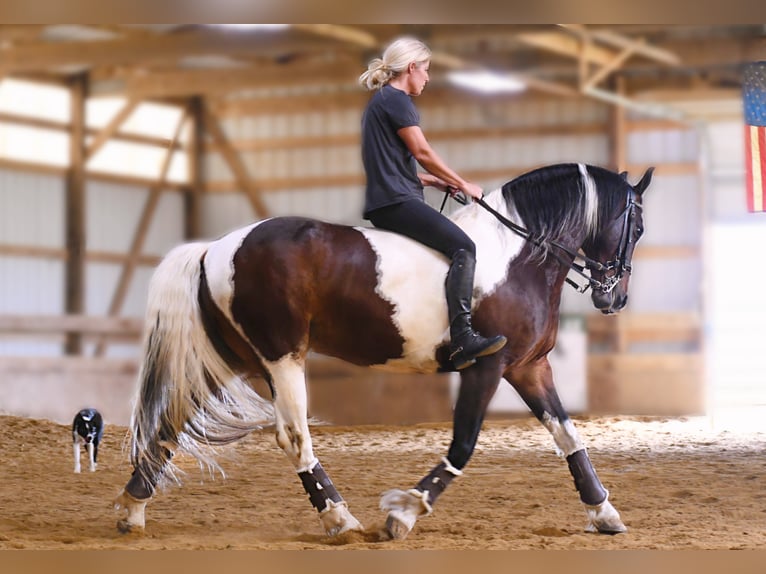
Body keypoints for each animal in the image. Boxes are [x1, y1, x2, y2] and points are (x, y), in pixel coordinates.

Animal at [112, 161, 656, 540]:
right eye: (638, 228)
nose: (614, 298)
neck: (517, 257)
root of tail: (215, 248)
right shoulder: (488, 364)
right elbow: (464, 445)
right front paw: (404, 515)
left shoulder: (529, 367)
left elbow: (568, 437)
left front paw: (604, 512)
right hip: (280, 357)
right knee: (293, 437)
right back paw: (339, 519)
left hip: (233, 359)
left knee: (172, 420)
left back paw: (134, 508)